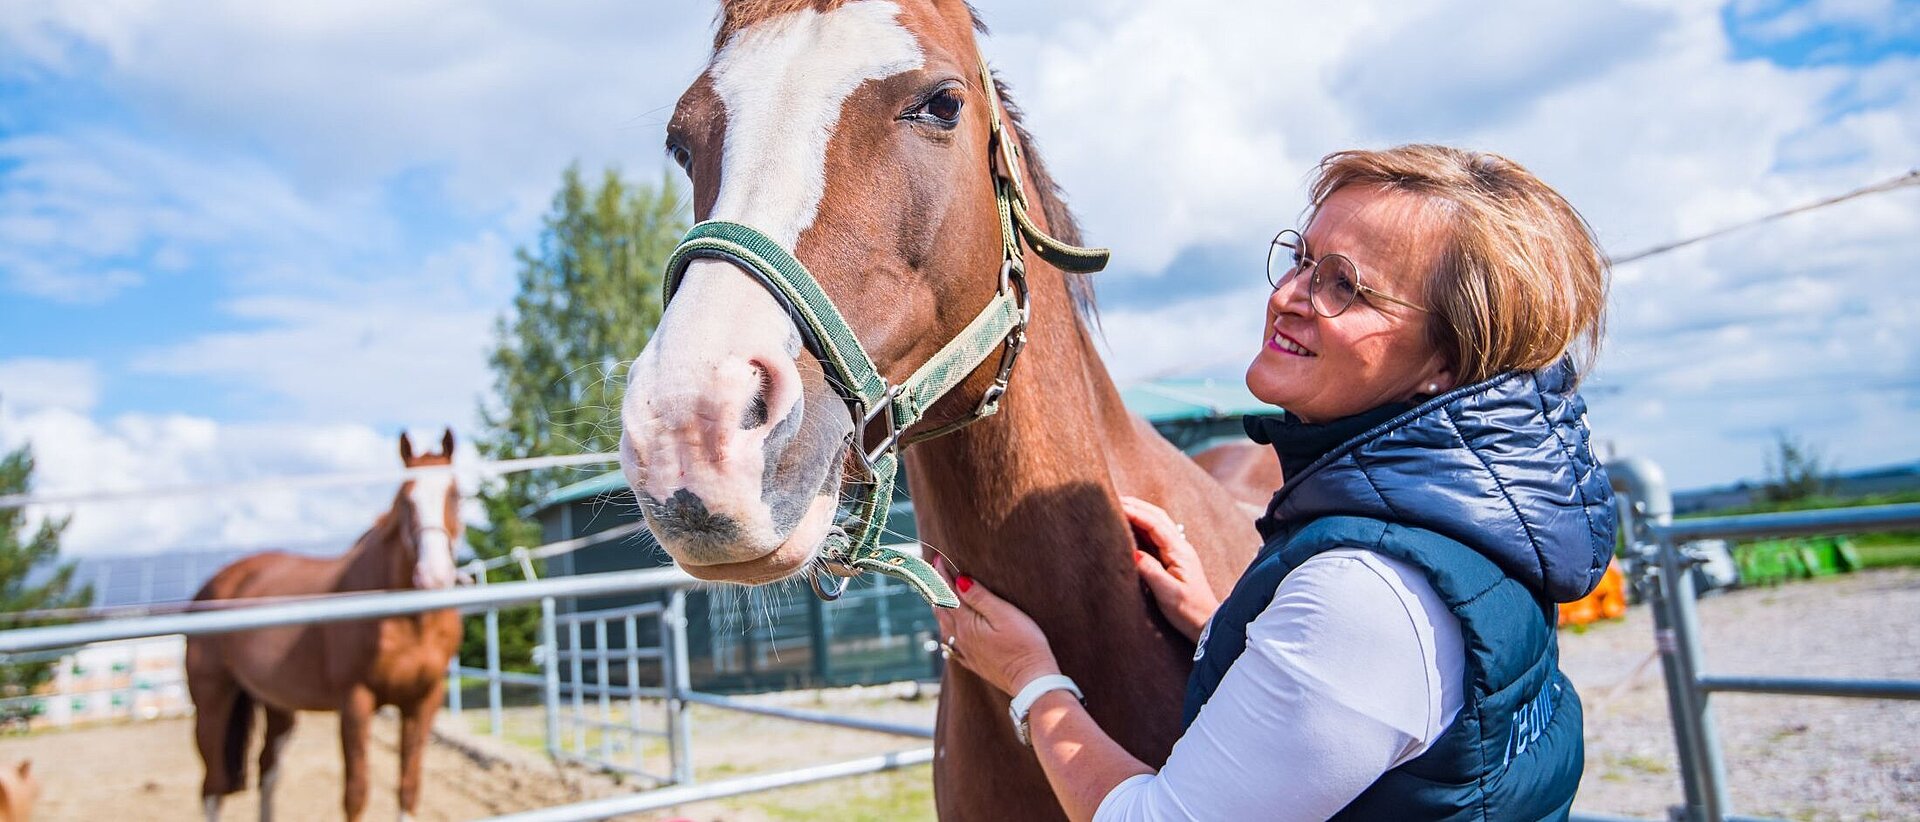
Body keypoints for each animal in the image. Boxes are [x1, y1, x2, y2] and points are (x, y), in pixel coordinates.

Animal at [187, 430, 464, 822]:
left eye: (456, 495)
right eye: (405, 500)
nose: (434, 575)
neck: (409, 620)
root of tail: (214, 584)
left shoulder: (423, 700)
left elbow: (408, 789)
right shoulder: (355, 702)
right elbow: (356, 794)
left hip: (277, 704)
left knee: (267, 772)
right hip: (211, 701)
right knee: (212, 787)